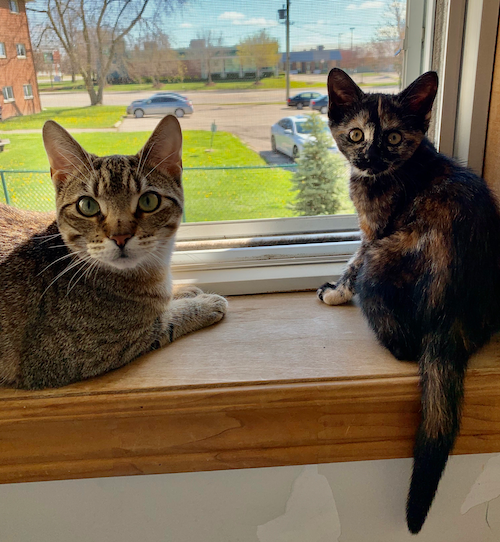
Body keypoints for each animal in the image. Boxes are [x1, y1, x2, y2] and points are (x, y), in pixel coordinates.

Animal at [0, 117, 228, 394]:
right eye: (87, 205)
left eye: (149, 201)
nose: (120, 237)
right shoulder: (67, 357)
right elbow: (164, 321)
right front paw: (203, 304)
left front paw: (183, 290)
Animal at [318, 69, 500, 536]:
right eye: (356, 134)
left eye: (395, 137)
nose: (368, 159)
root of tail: (450, 316)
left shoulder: (374, 234)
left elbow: (352, 261)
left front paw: (334, 292)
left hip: (382, 263)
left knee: (403, 347)